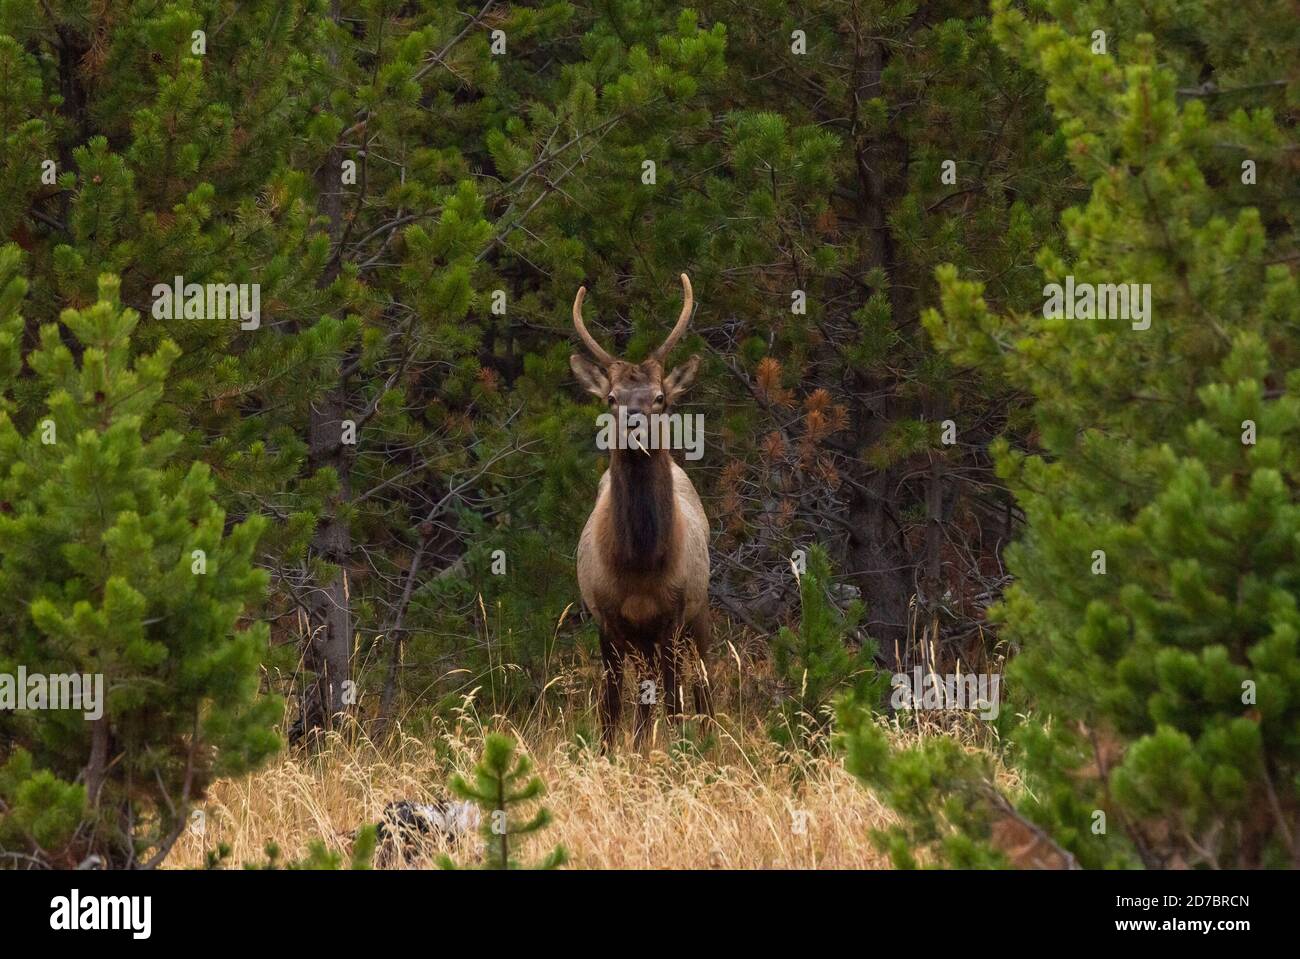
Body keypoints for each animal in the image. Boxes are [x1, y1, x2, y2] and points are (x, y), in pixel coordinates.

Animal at [569, 273, 714, 751]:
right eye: (611, 397)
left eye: (660, 397)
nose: (634, 424)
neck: (639, 564)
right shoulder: (606, 617)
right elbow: (611, 708)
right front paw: (610, 755)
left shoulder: (673, 614)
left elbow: (673, 702)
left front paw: (677, 752)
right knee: (642, 698)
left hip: (700, 613)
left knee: (702, 686)